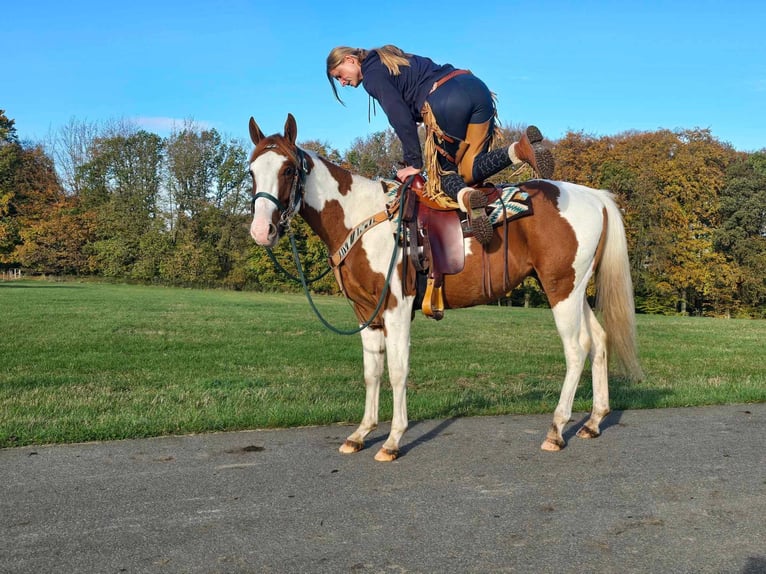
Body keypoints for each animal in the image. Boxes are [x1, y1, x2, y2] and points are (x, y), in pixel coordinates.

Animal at [249, 115, 644, 466]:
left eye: (288, 170)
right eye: (252, 171)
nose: (261, 231)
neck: (362, 218)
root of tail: (595, 197)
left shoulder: (396, 309)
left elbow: (397, 371)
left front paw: (392, 440)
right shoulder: (367, 314)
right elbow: (372, 373)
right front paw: (361, 434)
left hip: (561, 290)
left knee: (577, 350)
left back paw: (557, 430)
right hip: (575, 292)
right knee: (600, 342)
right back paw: (593, 422)